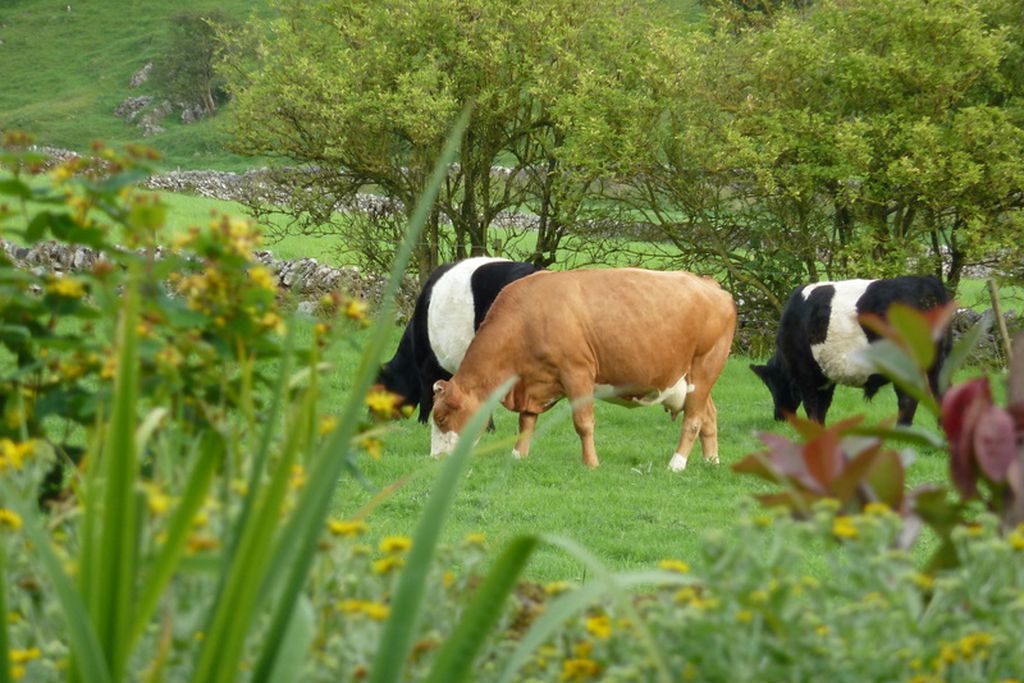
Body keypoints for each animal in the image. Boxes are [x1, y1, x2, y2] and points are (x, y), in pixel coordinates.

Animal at [430, 266, 737, 471]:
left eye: (442, 419)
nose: (435, 460)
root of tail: (710, 284)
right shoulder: (532, 380)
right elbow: (526, 422)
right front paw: (518, 456)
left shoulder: (577, 373)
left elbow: (583, 423)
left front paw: (591, 463)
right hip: (690, 378)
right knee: (709, 415)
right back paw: (711, 461)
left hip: (705, 367)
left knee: (693, 419)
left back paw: (677, 464)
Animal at [749, 274, 954, 423]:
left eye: (772, 384)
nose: (779, 417)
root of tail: (925, 281)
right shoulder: (825, 375)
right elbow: (823, 406)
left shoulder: (804, 372)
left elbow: (812, 405)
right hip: (940, 360)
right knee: (942, 393)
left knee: (908, 399)